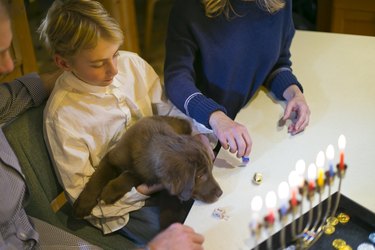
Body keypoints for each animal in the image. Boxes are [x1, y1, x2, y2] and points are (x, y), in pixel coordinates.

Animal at [72, 116, 223, 218]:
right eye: (200, 176)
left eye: (210, 170)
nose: (220, 193)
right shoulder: (111, 158)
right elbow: (98, 178)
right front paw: (84, 203)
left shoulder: (148, 175)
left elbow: (131, 175)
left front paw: (110, 190)